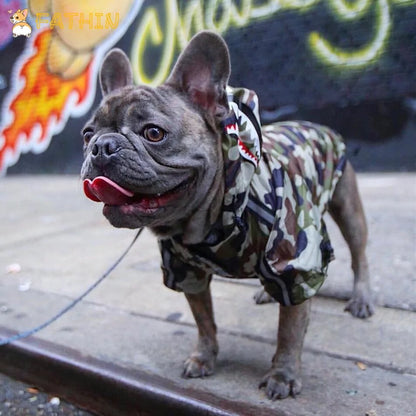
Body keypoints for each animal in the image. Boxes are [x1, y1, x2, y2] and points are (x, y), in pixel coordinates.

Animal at [81, 31, 374, 400]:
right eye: (87, 134)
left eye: (153, 133)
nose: (102, 146)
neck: (211, 219)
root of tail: (316, 124)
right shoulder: (186, 271)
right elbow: (204, 321)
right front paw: (204, 357)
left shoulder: (294, 264)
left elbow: (289, 330)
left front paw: (283, 375)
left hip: (347, 208)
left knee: (359, 254)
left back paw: (361, 298)